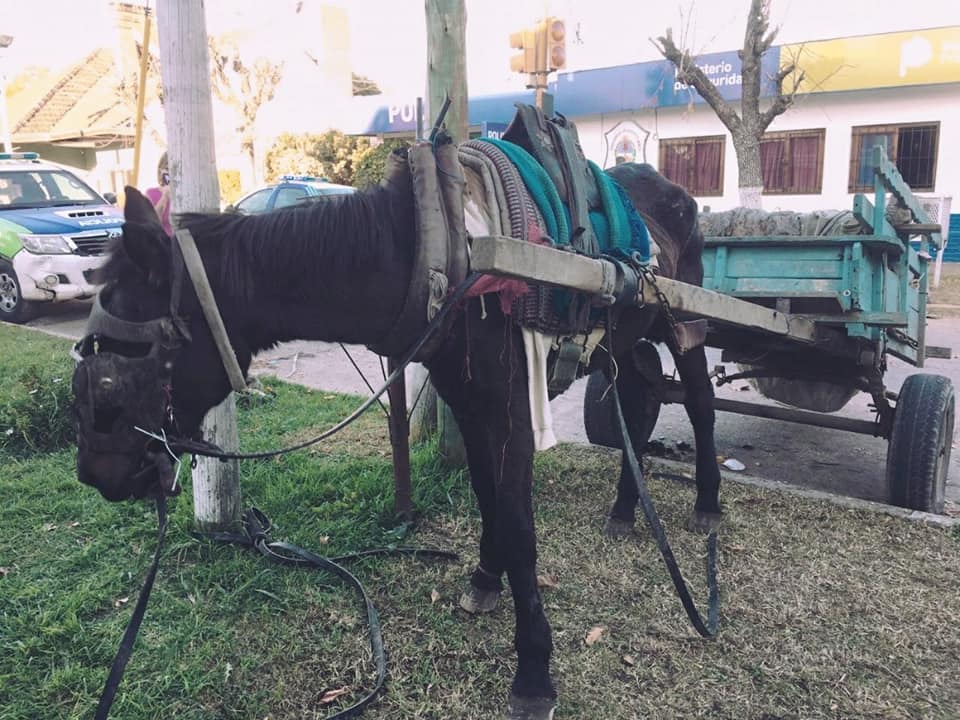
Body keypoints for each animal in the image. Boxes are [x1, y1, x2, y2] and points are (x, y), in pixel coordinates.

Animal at [72, 154, 721, 719]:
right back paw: (625, 508)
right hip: (627, 340)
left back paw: (708, 503)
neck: (447, 253)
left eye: (118, 360)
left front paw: (535, 672)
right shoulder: (467, 397)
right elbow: (487, 496)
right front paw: (485, 579)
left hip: (686, 323)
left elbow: (519, 525)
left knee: (699, 403)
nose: (94, 474)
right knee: (635, 401)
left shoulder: (510, 406)